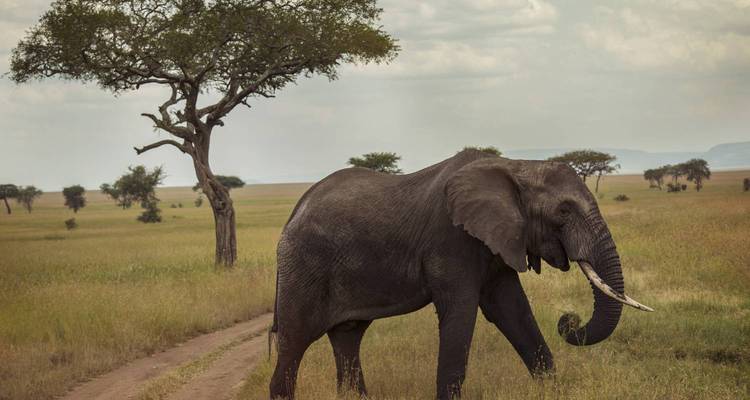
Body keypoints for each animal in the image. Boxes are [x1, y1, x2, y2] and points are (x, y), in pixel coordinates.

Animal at [269, 149, 652, 400]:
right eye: (564, 211)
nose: (569, 320)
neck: (515, 166)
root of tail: (293, 213)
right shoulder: (451, 239)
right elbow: (462, 312)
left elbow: (512, 310)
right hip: (302, 266)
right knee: (294, 340)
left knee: (348, 337)